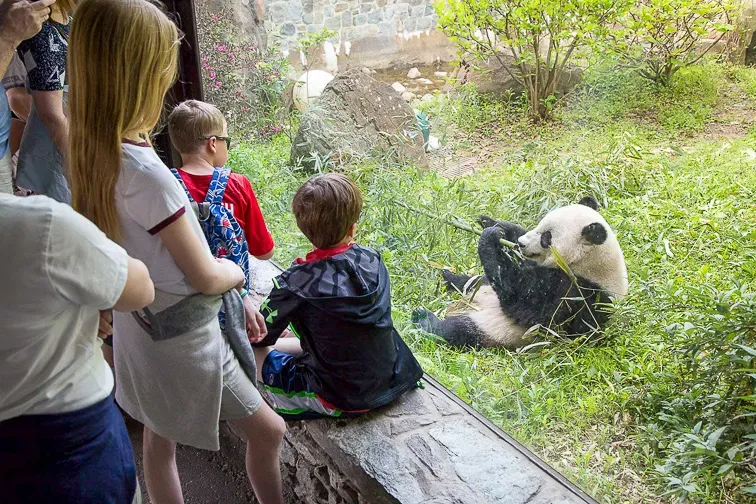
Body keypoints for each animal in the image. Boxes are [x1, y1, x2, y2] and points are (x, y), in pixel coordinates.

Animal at [412, 197, 628, 349]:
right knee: (473, 281)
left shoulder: (577, 293)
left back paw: (424, 320)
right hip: (480, 289)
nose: (522, 244)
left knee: (457, 331)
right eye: (540, 224)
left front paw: (489, 239)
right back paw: (449, 278)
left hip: (493, 329)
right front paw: (493, 224)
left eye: (546, 237)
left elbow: (522, 299)